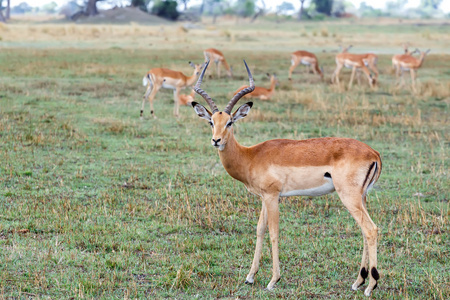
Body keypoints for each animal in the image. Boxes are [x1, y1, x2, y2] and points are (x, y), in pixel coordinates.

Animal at [191, 59, 384, 296]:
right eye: (211, 121)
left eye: (230, 122)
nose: (216, 140)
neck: (250, 156)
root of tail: (373, 153)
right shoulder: (264, 197)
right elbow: (260, 230)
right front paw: (250, 277)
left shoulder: (273, 196)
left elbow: (273, 232)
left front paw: (273, 280)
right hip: (361, 198)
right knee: (365, 231)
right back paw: (358, 282)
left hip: (349, 197)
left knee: (370, 229)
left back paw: (371, 286)